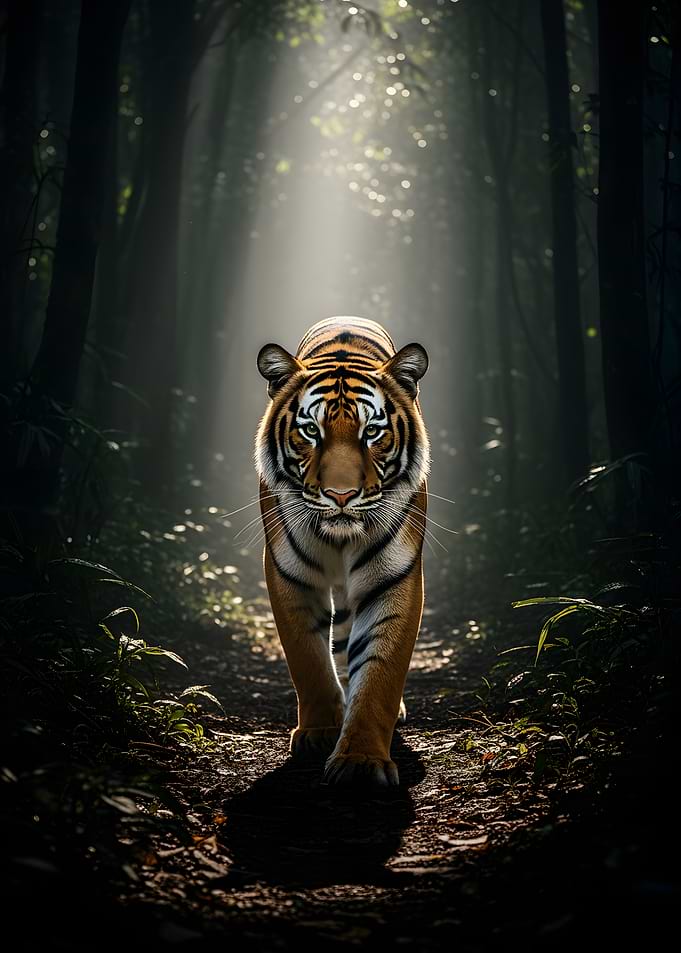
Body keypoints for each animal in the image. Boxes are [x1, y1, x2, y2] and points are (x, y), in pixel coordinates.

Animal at [255, 316, 429, 786]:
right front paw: (319, 732)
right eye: (310, 430)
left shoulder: (394, 576)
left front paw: (360, 761)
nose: (341, 495)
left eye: (372, 432)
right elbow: (308, 659)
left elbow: (380, 670)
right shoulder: (288, 573)